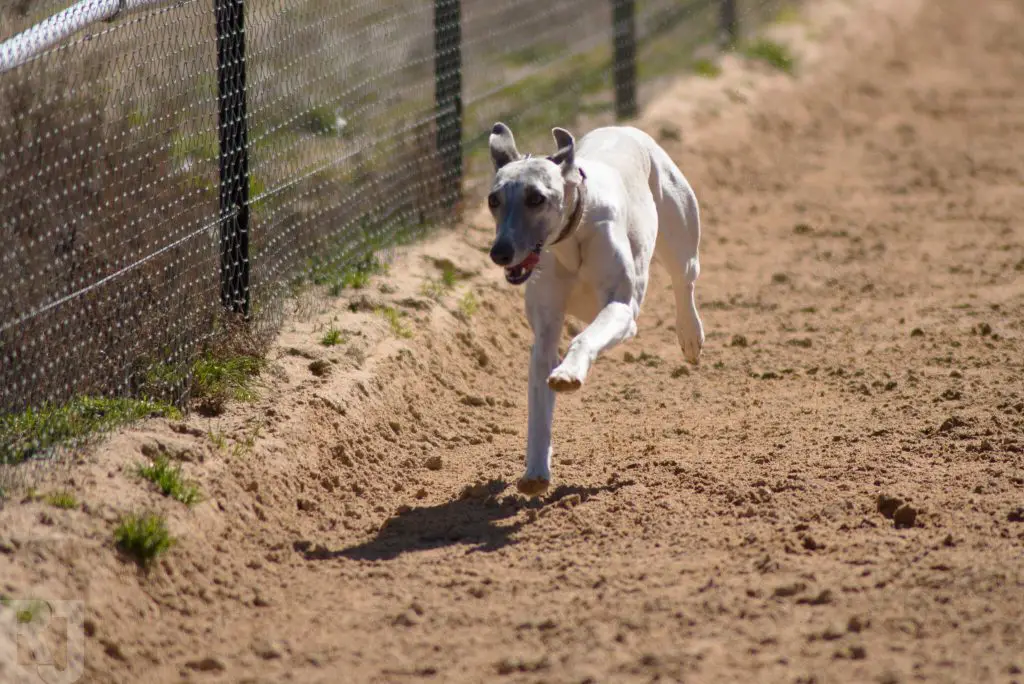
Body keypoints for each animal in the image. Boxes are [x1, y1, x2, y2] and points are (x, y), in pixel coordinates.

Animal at [487, 124, 704, 497]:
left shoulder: (622, 310)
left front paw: (568, 373)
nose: (500, 252)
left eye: (536, 198)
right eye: (493, 200)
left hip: (681, 238)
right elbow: (539, 403)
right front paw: (535, 471)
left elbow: (584, 339)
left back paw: (690, 335)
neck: (570, 239)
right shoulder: (545, 332)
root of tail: (623, 127)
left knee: (683, 282)